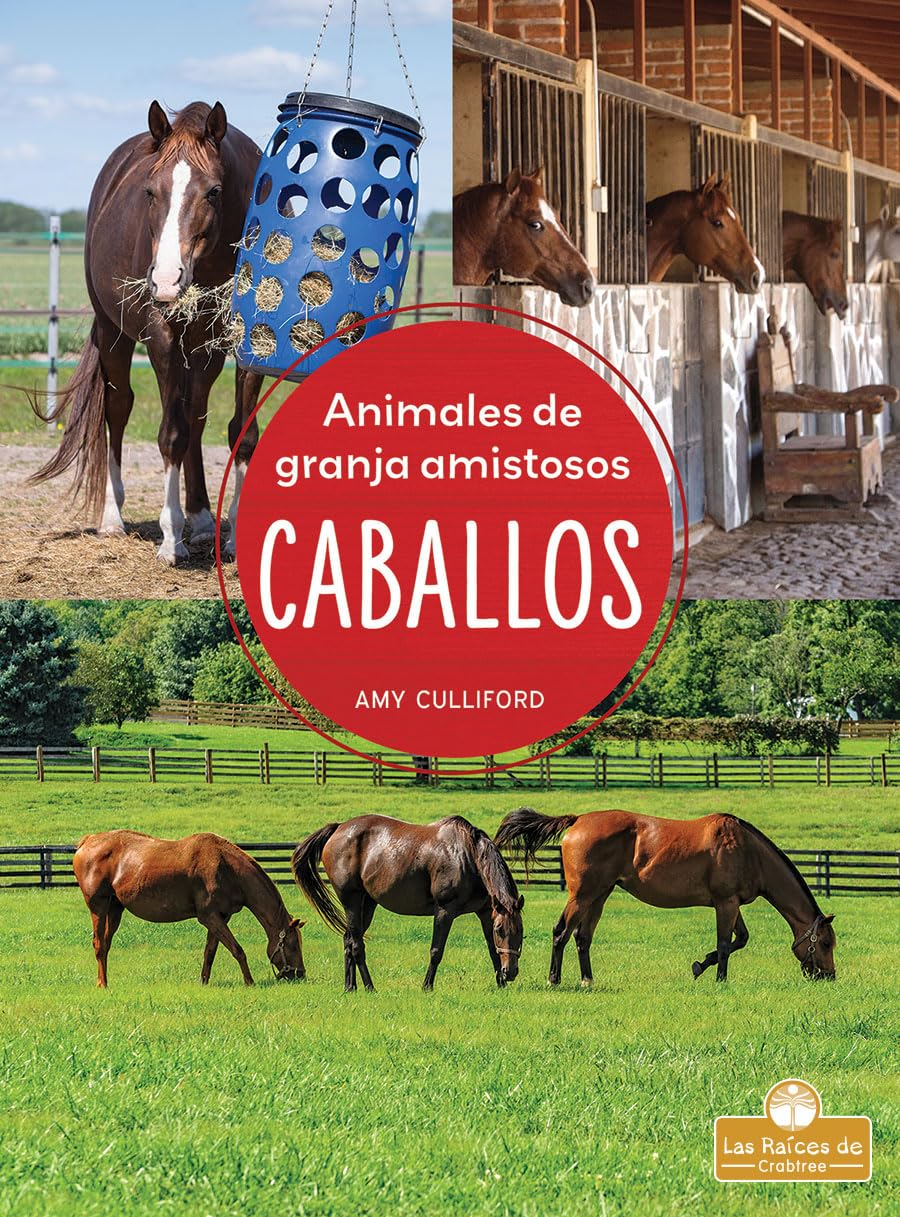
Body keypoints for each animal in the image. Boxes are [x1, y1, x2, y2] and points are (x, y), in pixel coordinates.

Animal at [30, 100, 263, 564]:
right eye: (151, 192)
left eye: (213, 191)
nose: (168, 281)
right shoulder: (162, 340)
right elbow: (170, 435)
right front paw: (171, 540)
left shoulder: (246, 343)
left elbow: (240, 435)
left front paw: (228, 536)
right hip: (114, 335)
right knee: (119, 410)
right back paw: (113, 519)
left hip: (203, 353)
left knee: (195, 417)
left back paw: (202, 520)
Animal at [73, 831, 306, 987]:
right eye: (293, 945)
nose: (300, 974)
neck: (227, 868)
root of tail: (88, 841)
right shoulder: (209, 917)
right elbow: (237, 950)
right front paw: (249, 982)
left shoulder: (220, 918)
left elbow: (210, 953)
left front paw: (204, 982)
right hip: (98, 907)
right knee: (99, 944)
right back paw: (102, 984)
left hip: (115, 909)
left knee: (106, 945)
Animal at [291, 814, 524, 991]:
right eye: (500, 929)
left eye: (520, 931)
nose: (511, 972)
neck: (468, 856)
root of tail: (338, 828)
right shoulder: (444, 911)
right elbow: (436, 951)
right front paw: (427, 986)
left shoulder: (485, 912)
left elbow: (492, 949)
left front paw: (501, 985)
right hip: (352, 901)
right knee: (356, 945)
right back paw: (369, 987)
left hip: (367, 905)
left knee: (348, 940)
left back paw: (350, 987)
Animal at [495, 808, 836, 986]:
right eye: (826, 944)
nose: (828, 976)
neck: (747, 850)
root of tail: (577, 819)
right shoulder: (725, 903)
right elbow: (726, 943)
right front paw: (719, 978)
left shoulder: (732, 903)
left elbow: (739, 939)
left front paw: (701, 965)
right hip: (583, 895)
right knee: (561, 932)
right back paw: (554, 979)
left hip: (600, 895)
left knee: (582, 937)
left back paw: (587, 980)